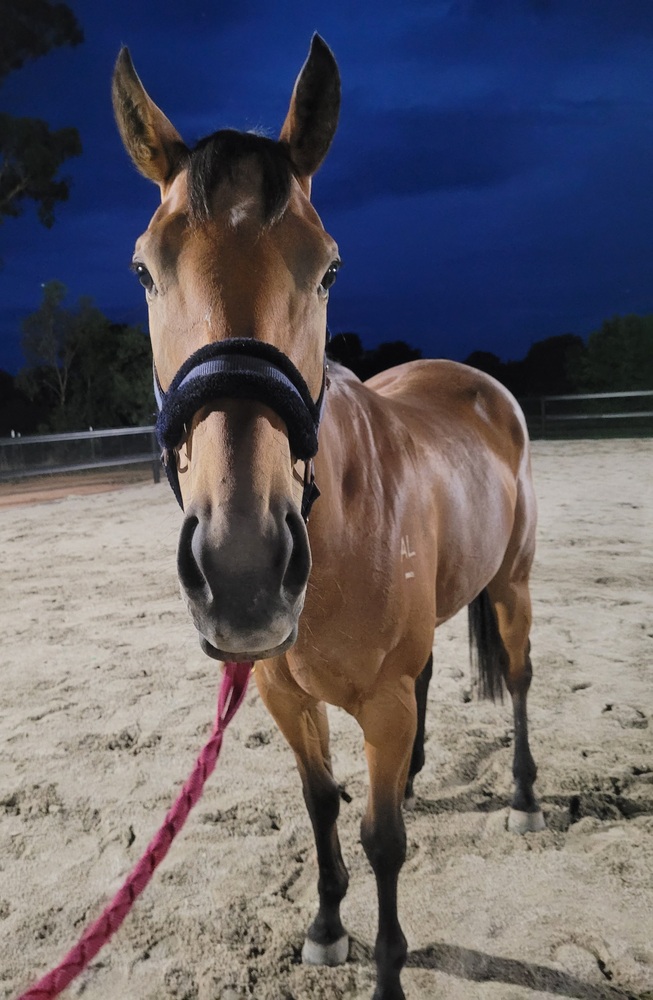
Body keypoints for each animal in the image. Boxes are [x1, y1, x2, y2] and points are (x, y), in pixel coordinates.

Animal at [112, 35, 544, 1000]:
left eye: (328, 268)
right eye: (145, 269)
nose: (241, 571)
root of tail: (479, 385)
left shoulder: (379, 701)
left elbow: (383, 842)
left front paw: (384, 967)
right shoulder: (281, 690)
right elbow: (322, 804)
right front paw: (324, 925)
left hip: (512, 586)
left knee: (520, 679)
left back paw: (526, 797)